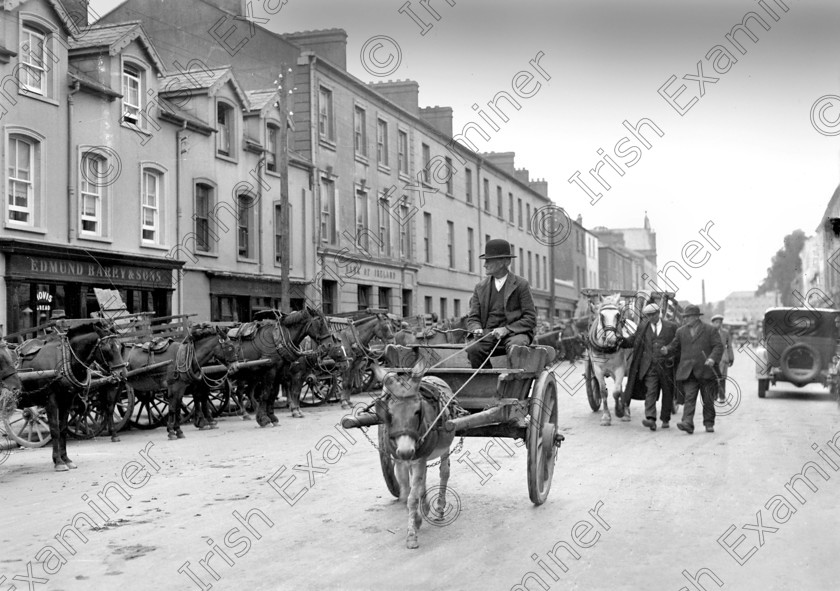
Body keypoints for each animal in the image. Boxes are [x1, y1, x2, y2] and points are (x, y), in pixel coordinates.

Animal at [592, 296, 636, 426]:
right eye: (601, 316)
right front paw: (606, 417)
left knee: (625, 388)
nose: (612, 339)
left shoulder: (620, 368)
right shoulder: (598, 369)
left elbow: (616, 392)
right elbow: (603, 392)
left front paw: (619, 411)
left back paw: (626, 412)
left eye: (618, 315)